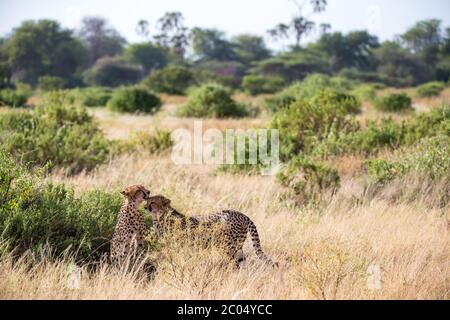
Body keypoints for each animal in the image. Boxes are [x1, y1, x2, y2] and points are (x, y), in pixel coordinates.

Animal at [146, 195, 276, 268]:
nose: (145, 207)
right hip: (236, 247)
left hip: (228, 247)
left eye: (152, 202)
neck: (160, 215)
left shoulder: (176, 246)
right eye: (147, 201)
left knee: (234, 262)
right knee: (240, 259)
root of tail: (241, 214)